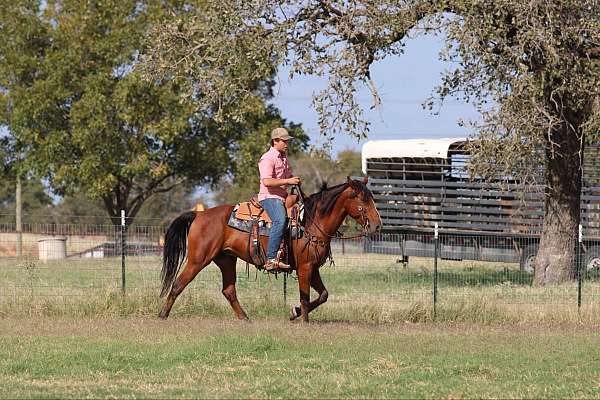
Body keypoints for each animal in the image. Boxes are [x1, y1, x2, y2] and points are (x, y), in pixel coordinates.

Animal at [159, 177, 382, 324]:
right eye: (362, 199)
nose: (377, 225)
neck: (311, 222)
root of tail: (200, 215)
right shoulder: (305, 267)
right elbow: (305, 295)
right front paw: (304, 320)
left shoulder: (313, 268)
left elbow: (323, 295)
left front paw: (294, 312)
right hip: (198, 260)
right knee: (178, 284)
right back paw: (162, 315)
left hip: (226, 260)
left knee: (228, 290)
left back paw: (244, 318)